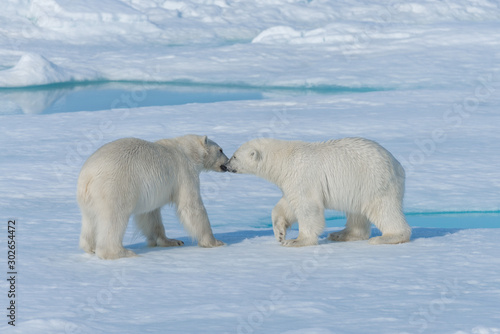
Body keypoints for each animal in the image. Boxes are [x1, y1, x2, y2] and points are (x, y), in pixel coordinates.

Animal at [77, 134, 228, 260]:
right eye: (220, 150)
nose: (227, 162)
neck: (188, 151)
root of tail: (88, 176)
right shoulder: (184, 172)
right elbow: (191, 206)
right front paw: (215, 241)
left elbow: (149, 215)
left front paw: (172, 241)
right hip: (115, 187)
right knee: (114, 218)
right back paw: (121, 252)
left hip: (88, 199)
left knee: (90, 220)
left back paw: (90, 247)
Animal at [223, 137, 410, 247]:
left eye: (234, 156)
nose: (225, 165)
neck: (284, 159)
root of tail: (398, 165)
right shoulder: (290, 181)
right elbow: (286, 206)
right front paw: (280, 232)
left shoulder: (302, 176)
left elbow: (307, 207)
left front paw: (296, 240)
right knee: (356, 213)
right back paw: (341, 234)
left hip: (374, 182)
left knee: (383, 210)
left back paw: (387, 237)